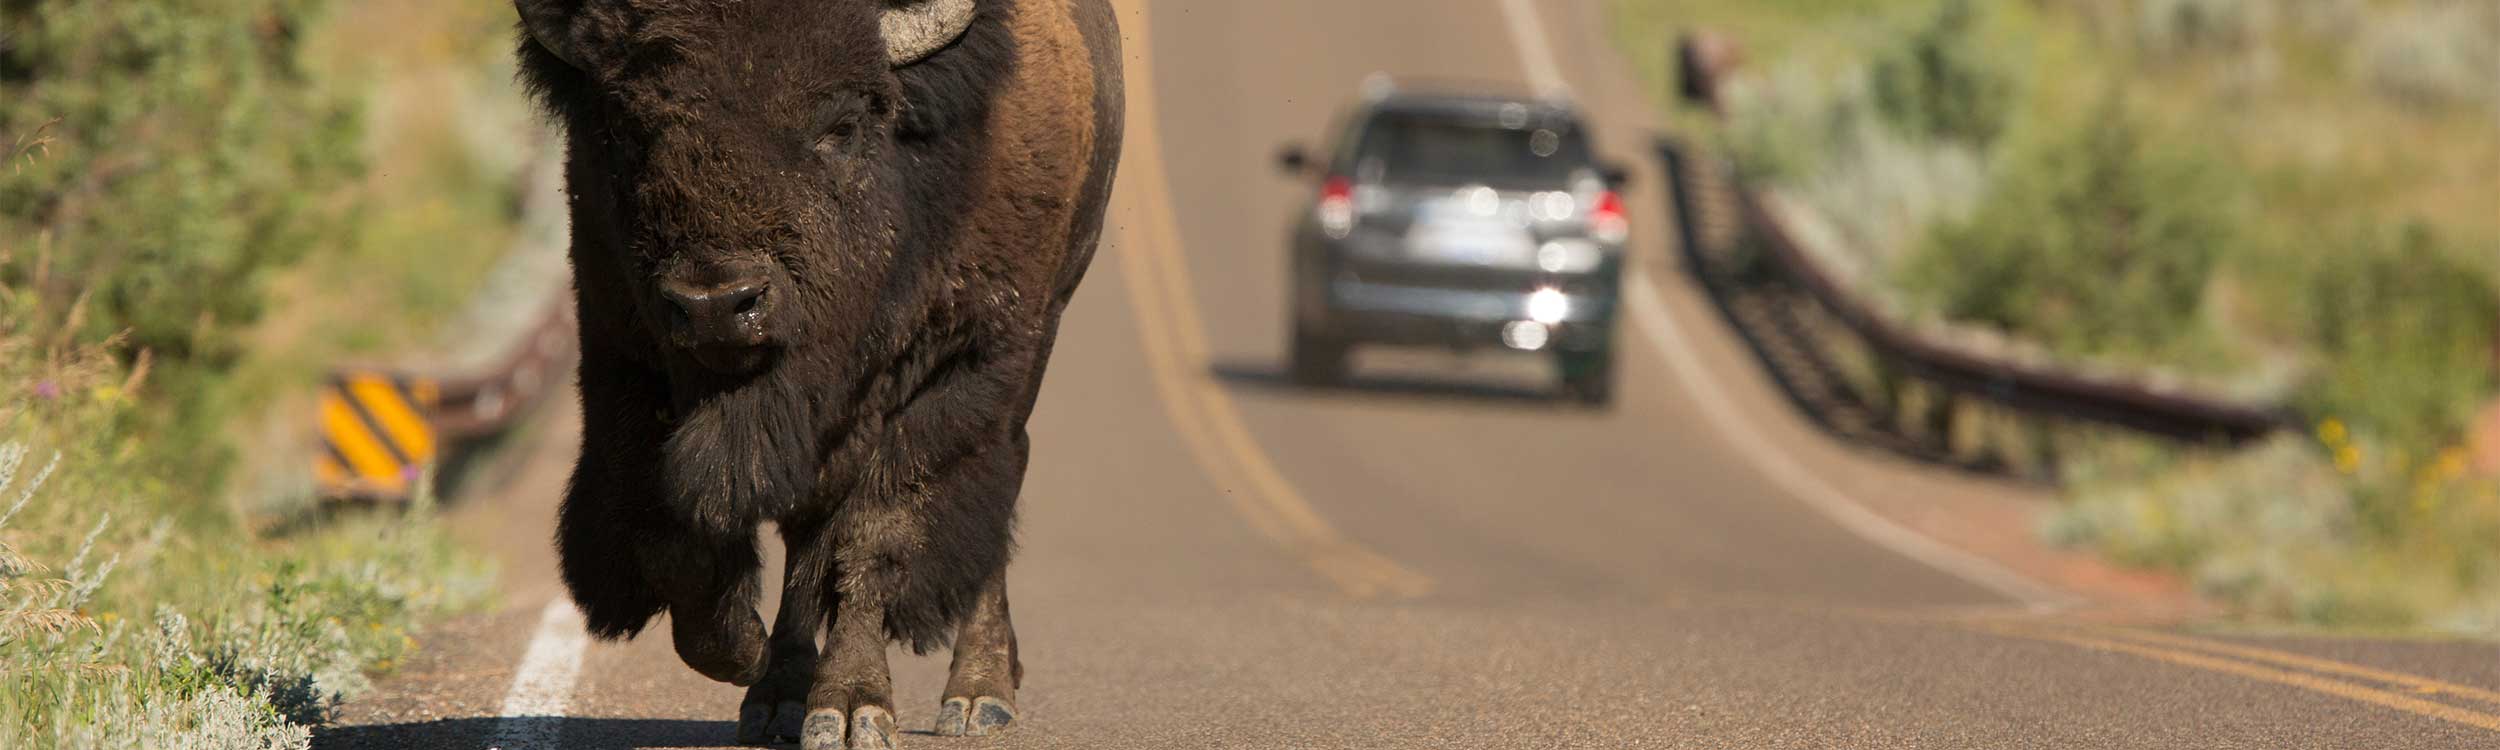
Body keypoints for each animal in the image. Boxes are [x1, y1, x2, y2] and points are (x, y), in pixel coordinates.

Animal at [511, 0, 1122, 746]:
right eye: (627, 130)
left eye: (840, 126)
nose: (717, 303)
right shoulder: (626, 363)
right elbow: (679, 535)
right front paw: (747, 654)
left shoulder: (950, 381)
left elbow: (877, 537)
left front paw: (853, 709)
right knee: (808, 542)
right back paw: (778, 697)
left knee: (993, 486)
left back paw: (979, 696)